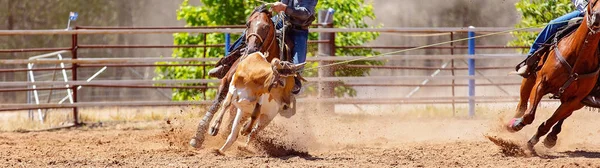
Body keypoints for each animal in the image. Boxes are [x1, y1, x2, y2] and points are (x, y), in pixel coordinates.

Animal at [191, 4, 288, 148]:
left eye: (266, 26)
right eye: (248, 24)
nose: (251, 49)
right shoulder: (227, 82)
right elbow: (217, 104)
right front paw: (199, 135)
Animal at [506, 0, 600, 152]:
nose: (597, 17)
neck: (579, 54)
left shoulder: (575, 100)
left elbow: (547, 124)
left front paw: (532, 142)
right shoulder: (541, 83)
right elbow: (529, 115)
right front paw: (515, 125)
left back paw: (551, 137)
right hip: (530, 77)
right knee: (522, 105)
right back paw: (512, 122)